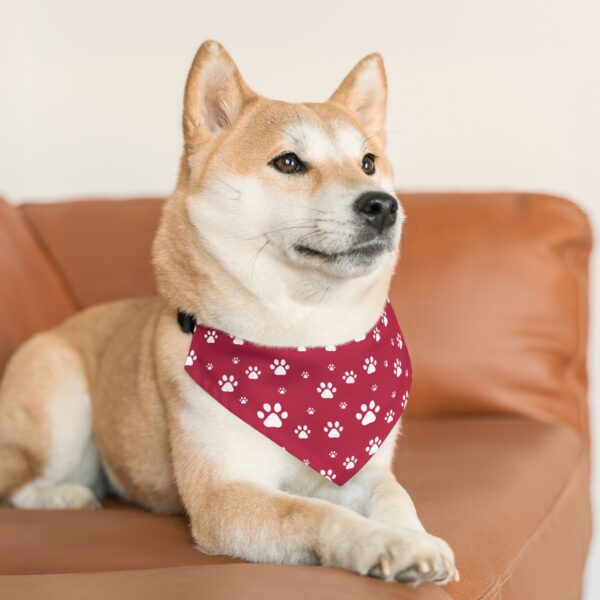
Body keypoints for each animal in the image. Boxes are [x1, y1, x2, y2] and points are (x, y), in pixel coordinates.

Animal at [0, 42, 458, 584]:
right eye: (289, 162)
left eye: (368, 162)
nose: (383, 206)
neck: (304, 339)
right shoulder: (224, 496)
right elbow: (317, 513)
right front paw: (386, 543)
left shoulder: (363, 466)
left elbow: (394, 496)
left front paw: (416, 537)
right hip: (59, 397)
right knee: (20, 485)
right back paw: (67, 495)